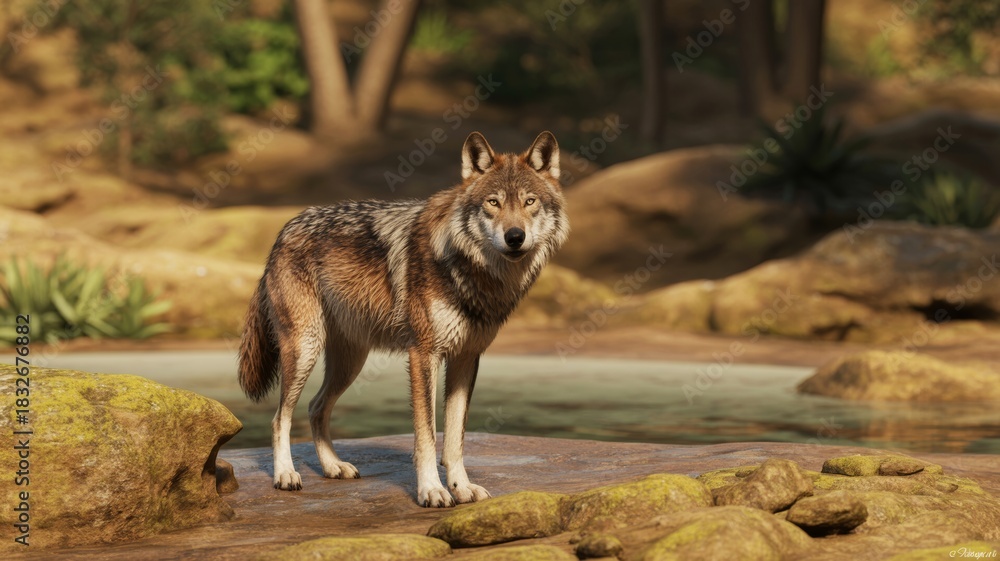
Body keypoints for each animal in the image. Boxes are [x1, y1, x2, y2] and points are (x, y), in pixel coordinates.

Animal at [238, 131, 568, 507]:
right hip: (305, 348)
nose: (515, 237)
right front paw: (432, 490)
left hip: (350, 363)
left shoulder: (466, 358)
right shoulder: (423, 354)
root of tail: (284, 230)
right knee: (280, 417)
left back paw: (333, 467)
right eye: (493, 203)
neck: (471, 271)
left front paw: (461, 487)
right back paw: (285, 474)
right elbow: (426, 435)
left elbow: (454, 439)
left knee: (315, 407)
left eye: (529, 201)